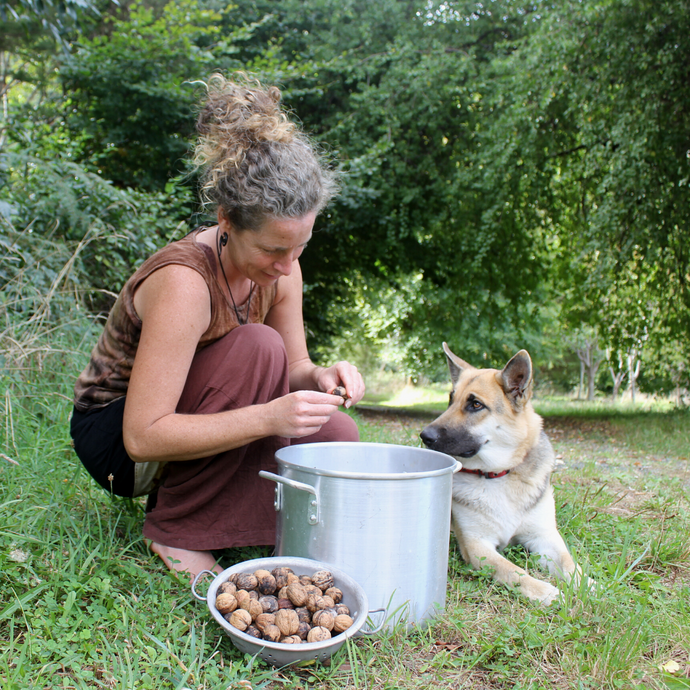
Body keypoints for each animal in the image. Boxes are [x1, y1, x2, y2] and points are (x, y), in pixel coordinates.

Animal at [420, 344, 584, 600]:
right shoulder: (478, 546)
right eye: (450, 400)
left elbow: (569, 563)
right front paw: (546, 592)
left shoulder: (545, 537)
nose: (425, 436)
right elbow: (513, 571)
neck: (498, 475)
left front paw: (589, 586)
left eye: (476, 404)